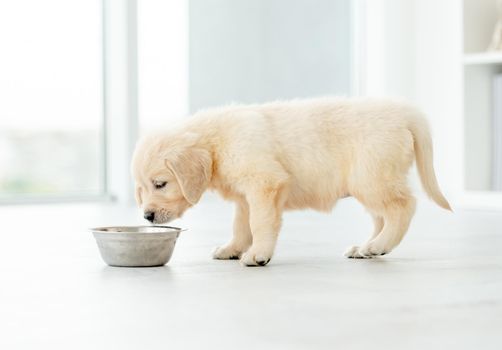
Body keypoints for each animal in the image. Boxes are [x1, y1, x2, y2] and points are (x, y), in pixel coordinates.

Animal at [130, 97, 452, 266]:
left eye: (160, 184)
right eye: (141, 189)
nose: (147, 216)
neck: (216, 142)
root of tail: (403, 111)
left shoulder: (265, 184)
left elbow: (260, 223)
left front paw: (258, 254)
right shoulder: (245, 197)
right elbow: (241, 225)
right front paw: (233, 248)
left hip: (372, 178)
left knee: (403, 207)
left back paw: (379, 245)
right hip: (371, 182)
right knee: (381, 217)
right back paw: (366, 247)